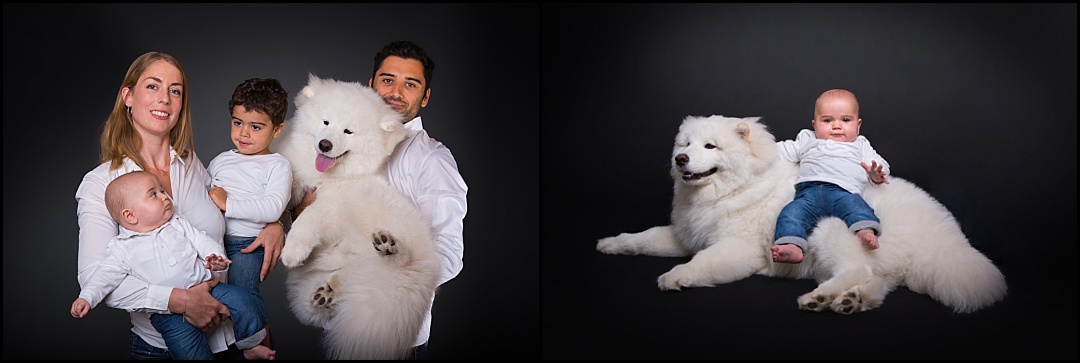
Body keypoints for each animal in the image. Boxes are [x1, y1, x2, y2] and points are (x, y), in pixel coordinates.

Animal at [274, 74, 438, 360]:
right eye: (326, 122)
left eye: (348, 132)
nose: (325, 145)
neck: (328, 176)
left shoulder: (333, 205)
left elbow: (309, 219)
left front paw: (293, 251)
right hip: (321, 281)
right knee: (329, 294)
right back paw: (325, 295)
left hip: (397, 227)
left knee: (404, 260)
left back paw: (389, 247)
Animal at [596, 115, 1006, 313]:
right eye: (685, 144)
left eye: (710, 146)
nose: (680, 159)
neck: (732, 189)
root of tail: (946, 234)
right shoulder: (685, 235)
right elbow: (645, 237)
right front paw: (612, 243)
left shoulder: (736, 248)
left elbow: (702, 263)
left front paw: (675, 277)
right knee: (874, 283)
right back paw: (850, 302)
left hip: (829, 228)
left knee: (857, 270)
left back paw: (819, 299)